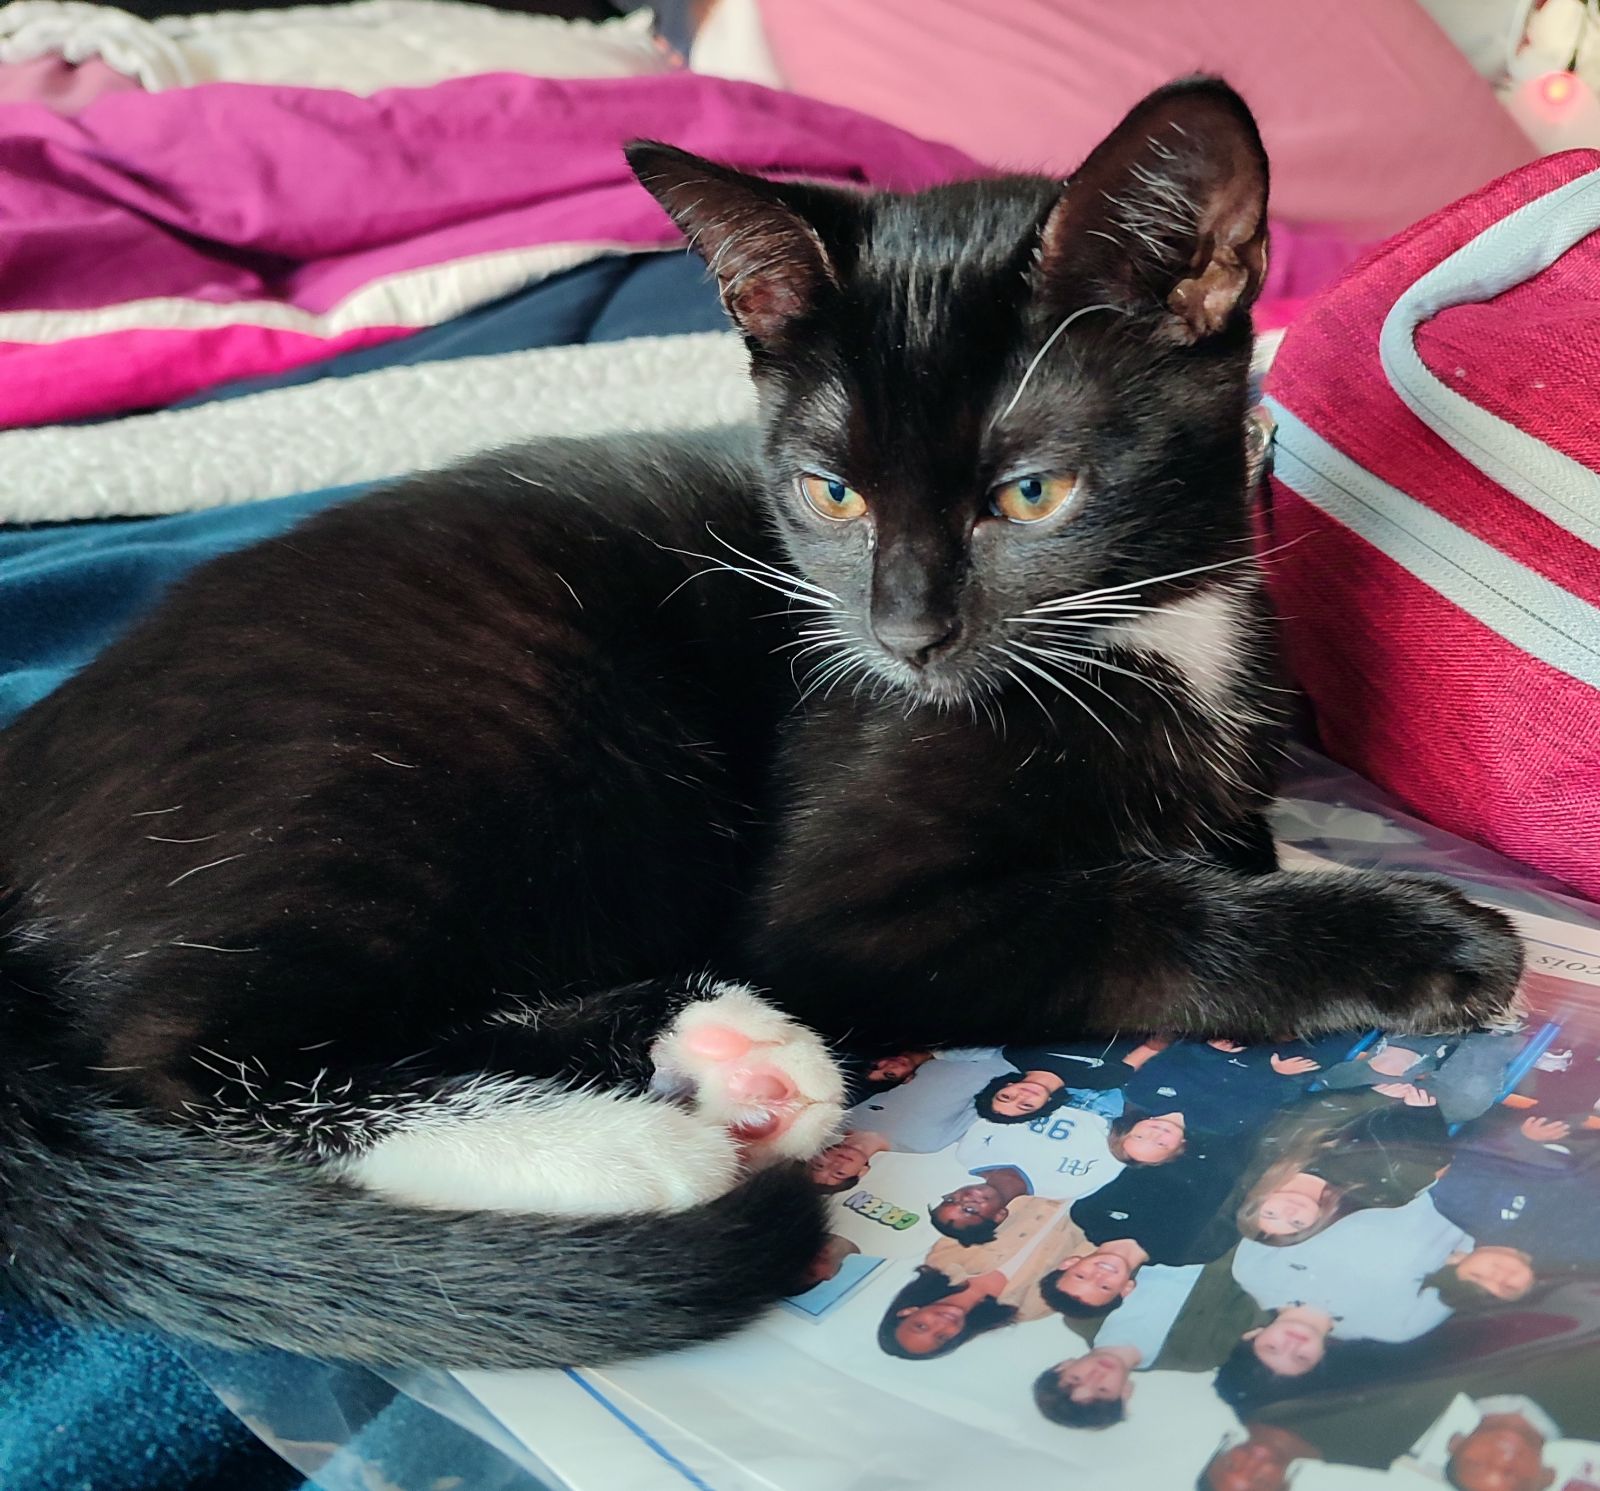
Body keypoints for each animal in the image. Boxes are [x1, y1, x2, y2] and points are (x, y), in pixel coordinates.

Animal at [0, 78, 1522, 1371]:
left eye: (1031, 493)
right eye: (828, 493)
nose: (905, 639)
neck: (1159, 631)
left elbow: (1234, 845)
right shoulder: (844, 901)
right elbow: (1131, 908)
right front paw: (1418, 937)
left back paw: (718, 1061)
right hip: (452, 731)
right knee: (182, 1058)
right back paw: (637, 1141)